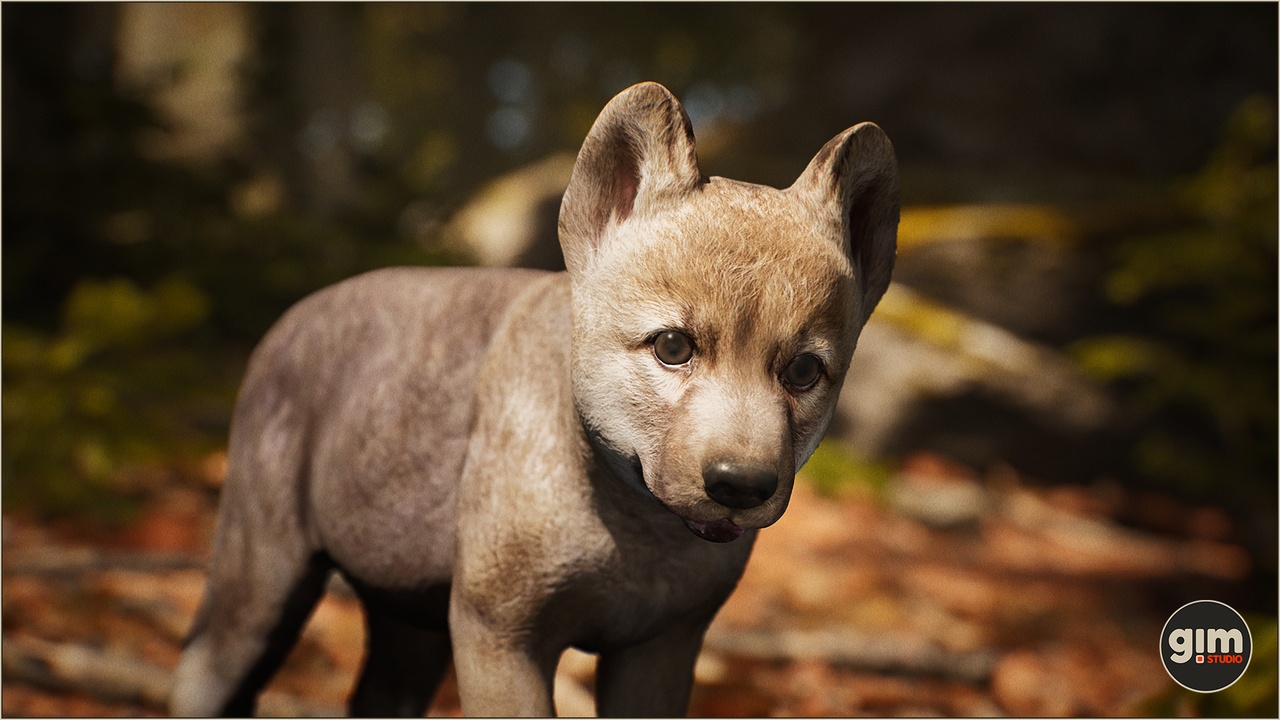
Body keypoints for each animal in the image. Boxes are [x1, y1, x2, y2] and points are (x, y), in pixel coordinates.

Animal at [170, 81, 898, 717]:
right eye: (672, 347)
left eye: (803, 371)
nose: (741, 485)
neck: (639, 534)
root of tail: (289, 318)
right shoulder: (501, 633)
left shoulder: (662, 648)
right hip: (262, 574)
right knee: (204, 673)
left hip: (411, 609)